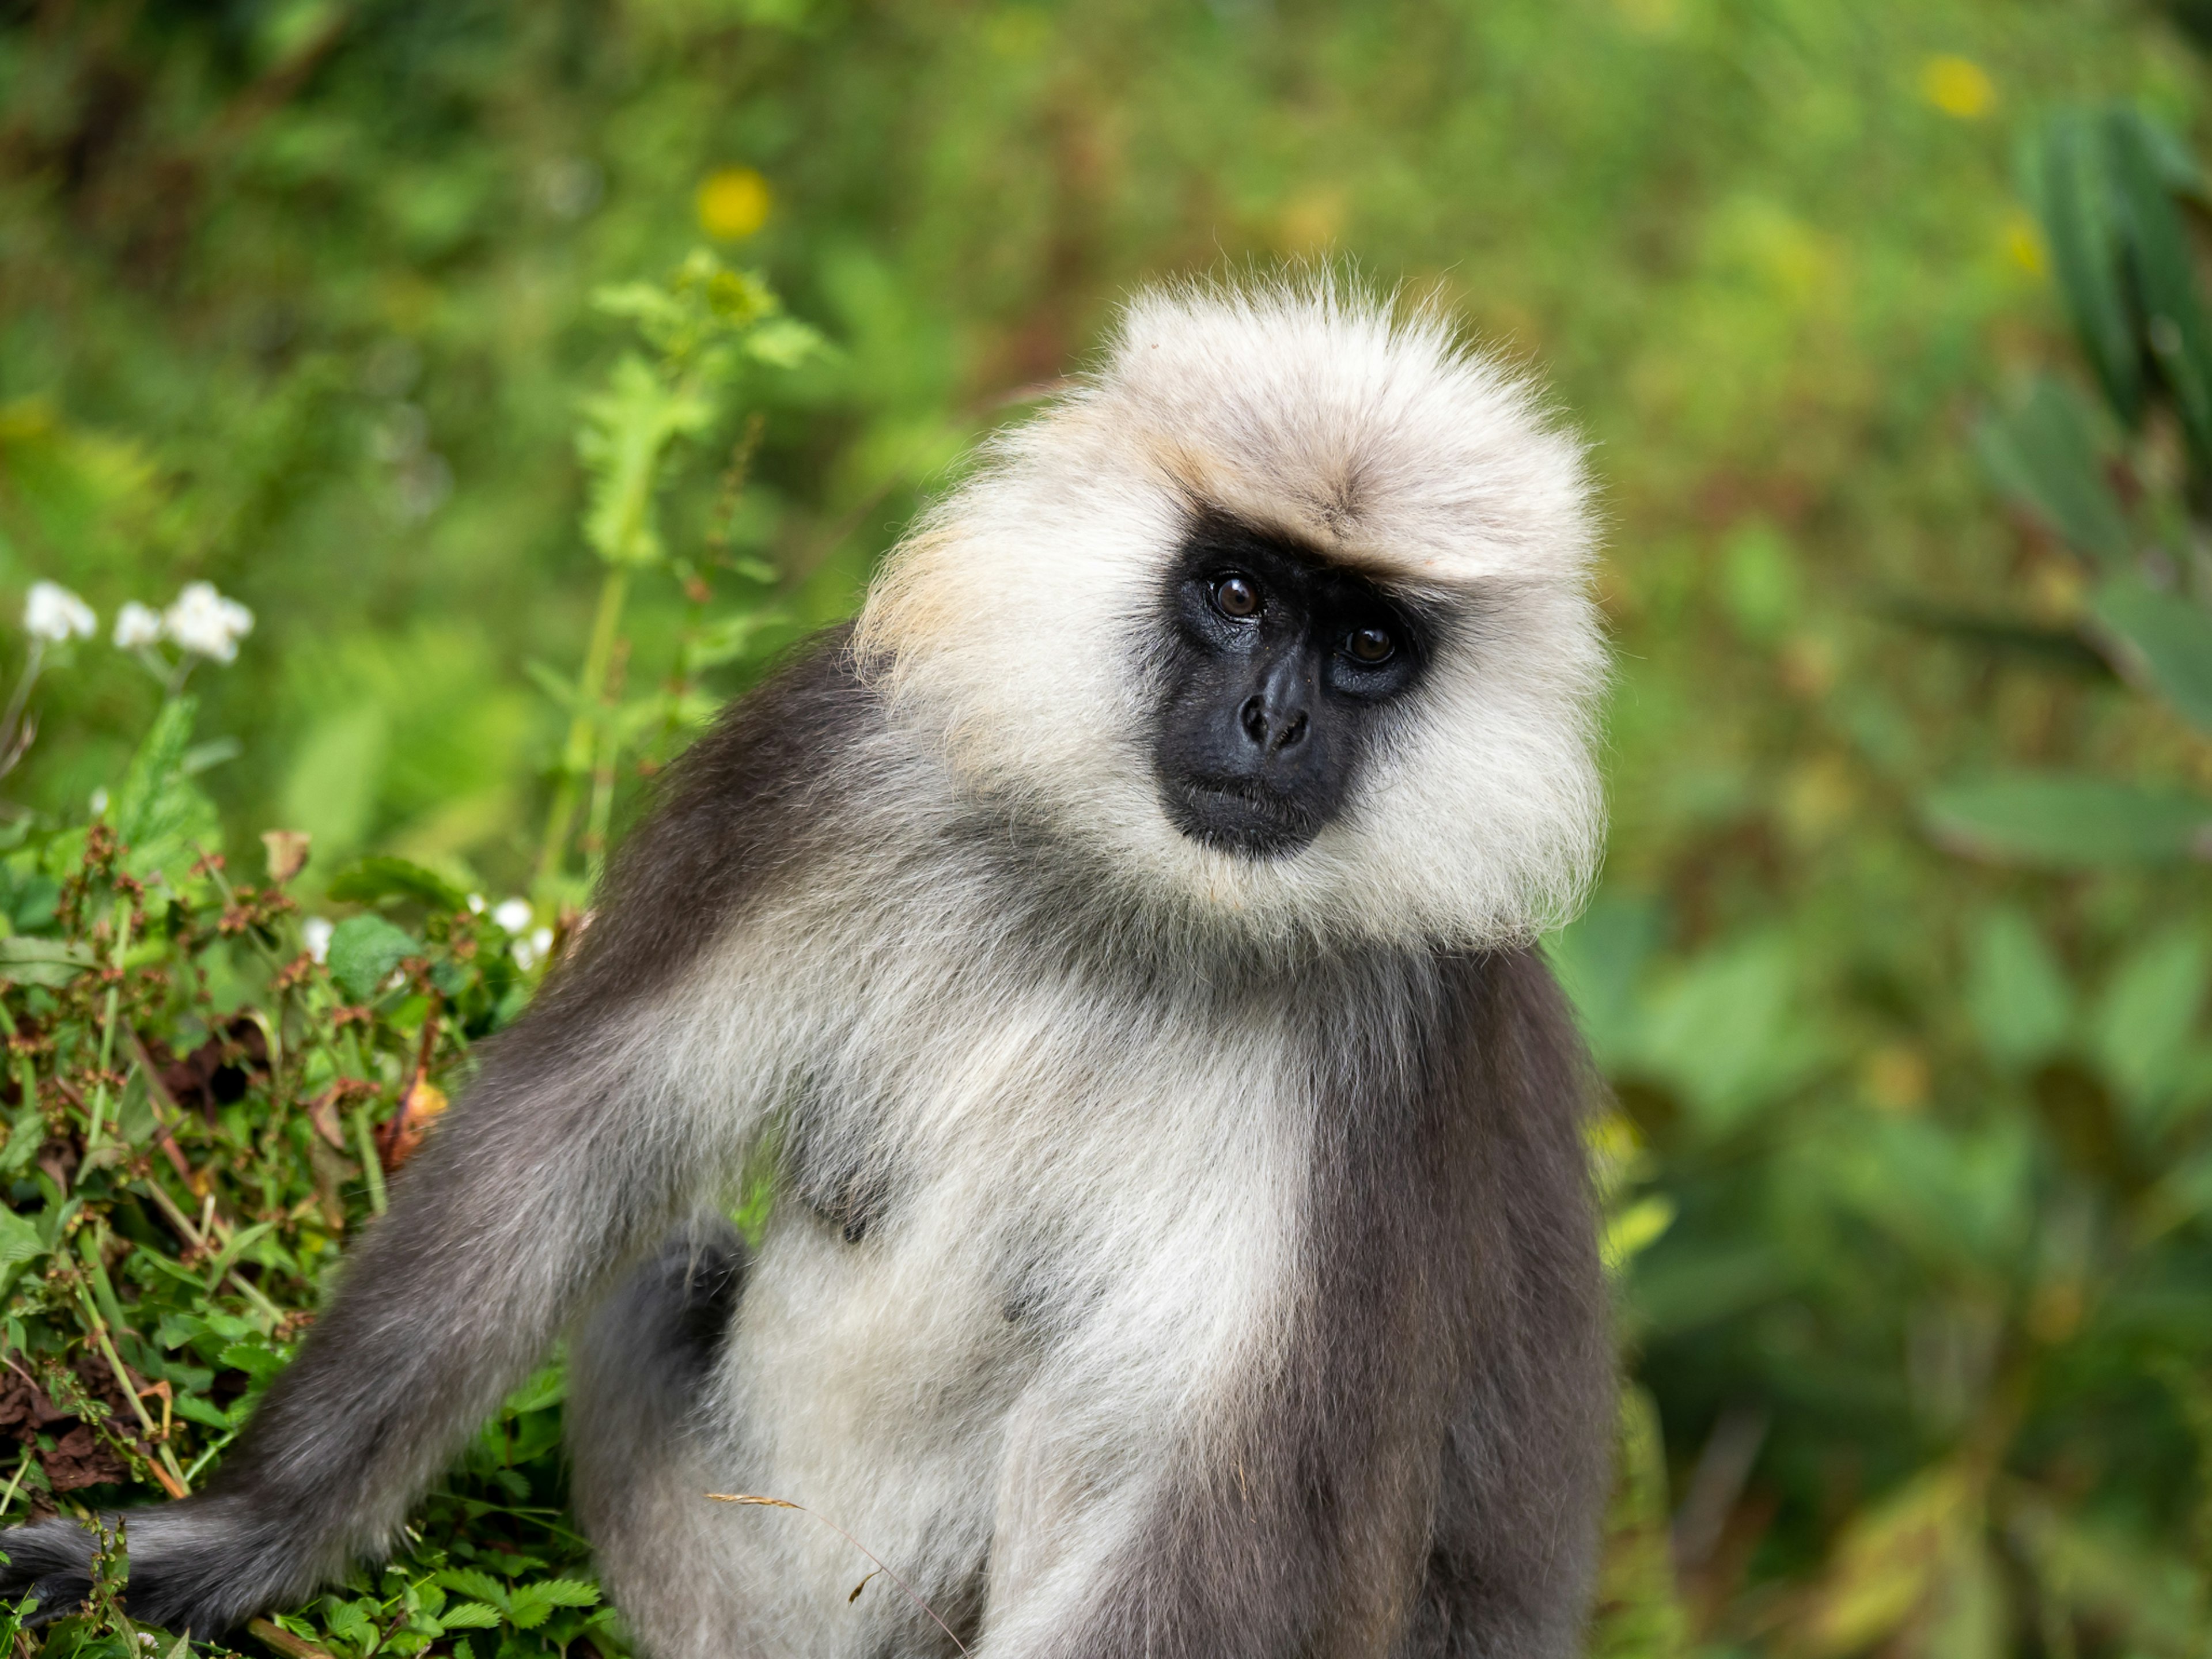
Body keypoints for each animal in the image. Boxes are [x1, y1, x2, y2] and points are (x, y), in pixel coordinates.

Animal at [9, 285, 1619, 1659]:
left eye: (1366, 642)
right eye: (1235, 593)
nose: (1275, 719)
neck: (1146, 907)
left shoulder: (1400, 1046)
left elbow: (1249, 1501)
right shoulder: (839, 761)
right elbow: (571, 1133)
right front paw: (230, 1543)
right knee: (667, 1267)